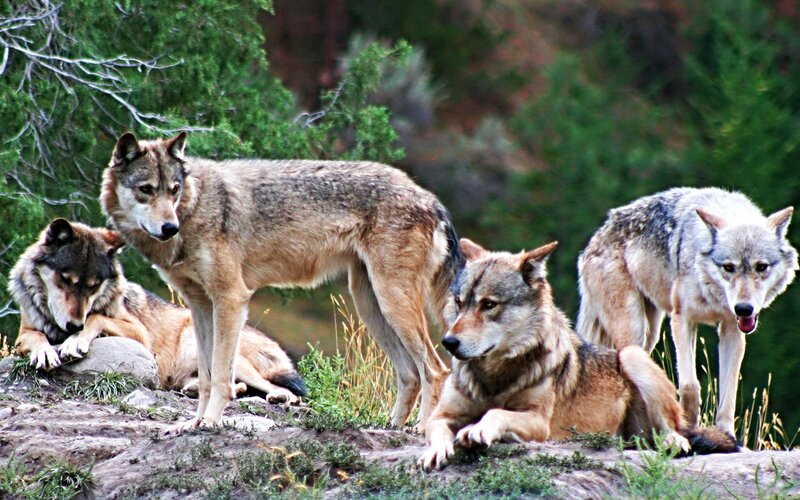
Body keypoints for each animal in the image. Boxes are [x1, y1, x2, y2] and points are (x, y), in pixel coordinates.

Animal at [9, 219, 306, 403]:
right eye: (65, 280)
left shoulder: (138, 332)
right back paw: (194, 389)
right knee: (232, 387)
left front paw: (74, 342)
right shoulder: (23, 333)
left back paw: (279, 396)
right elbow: (37, 338)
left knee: (281, 390)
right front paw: (45, 351)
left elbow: (96, 316)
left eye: (94, 286)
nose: (73, 326)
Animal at [100, 132, 462, 431]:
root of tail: (431, 199)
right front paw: (194, 423)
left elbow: (221, 377)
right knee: (410, 374)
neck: (196, 206)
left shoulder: (232, 299)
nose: (169, 228)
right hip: (371, 306)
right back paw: (392, 427)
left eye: (173, 191)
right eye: (146, 190)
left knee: (436, 369)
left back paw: (421, 430)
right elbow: (204, 377)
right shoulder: (200, 306)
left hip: (392, 303)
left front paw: (212, 422)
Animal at [419, 238, 737, 471]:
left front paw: (478, 431)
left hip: (632, 355)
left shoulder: (539, 422)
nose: (449, 342)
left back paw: (674, 442)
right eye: (459, 303)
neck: (494, 377)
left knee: (676, 430)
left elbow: (496, 412)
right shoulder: (441, 415)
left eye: (488, 304)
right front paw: (435, 451)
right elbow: (436, 430)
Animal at [577, 187, 797, 436]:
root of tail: (595, 238)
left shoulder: (731, 328)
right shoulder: (682, 320)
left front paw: (727, 435)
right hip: (634, 330)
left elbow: (729, 391)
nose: (743, 308)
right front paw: (688, 426)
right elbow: (690, 385)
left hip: (650, 334)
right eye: (728, 267)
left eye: (761, 267)